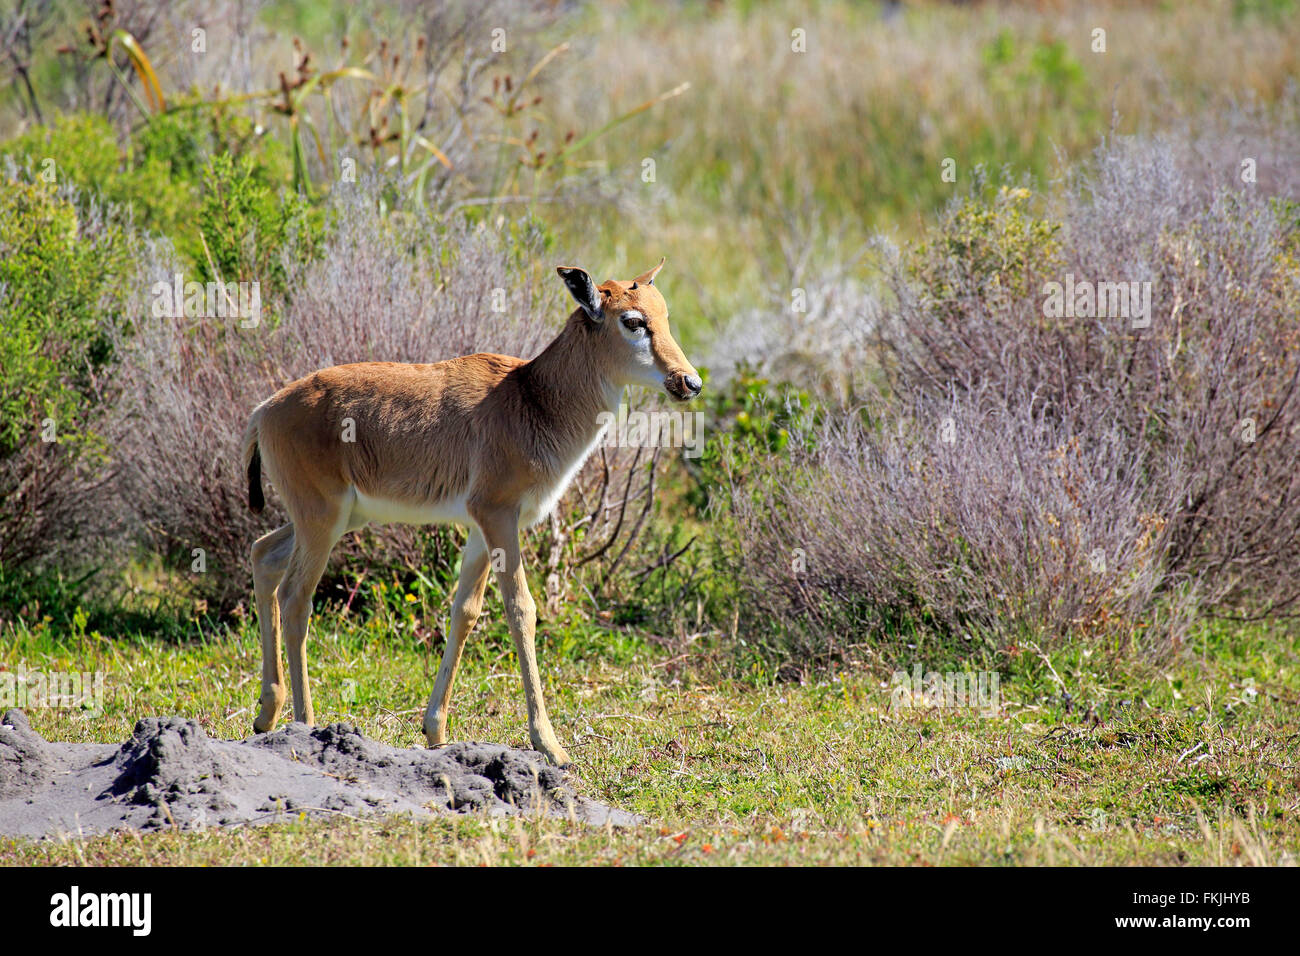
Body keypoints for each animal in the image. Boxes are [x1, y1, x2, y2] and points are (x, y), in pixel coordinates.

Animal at [243, 257, 702, 764]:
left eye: (664, 314)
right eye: (633, 321)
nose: (689, 382)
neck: (529, 397)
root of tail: (264, 411)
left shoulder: (481, 530)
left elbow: (464, 611)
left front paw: (436, 730)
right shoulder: (499, 517)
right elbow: (522, 609)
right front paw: (550, 744)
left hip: (335, 519)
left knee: (264, 555)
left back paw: (267, 714)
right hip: (322, 522)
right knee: (295, 597)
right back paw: (305, 725)